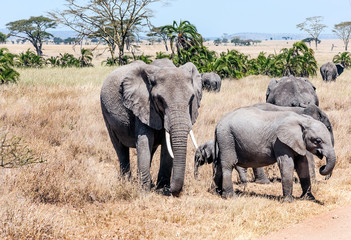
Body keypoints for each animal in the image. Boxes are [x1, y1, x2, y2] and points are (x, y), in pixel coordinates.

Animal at [100, 60, 202, 197]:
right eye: (160, 100)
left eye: (191, 99)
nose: (172, 190)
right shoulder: (142, 106)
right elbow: (144, 140)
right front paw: (144, 191)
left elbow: (166, 145)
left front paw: (162, 189)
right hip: (106, 113)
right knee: (120, 148)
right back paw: (126, 182)